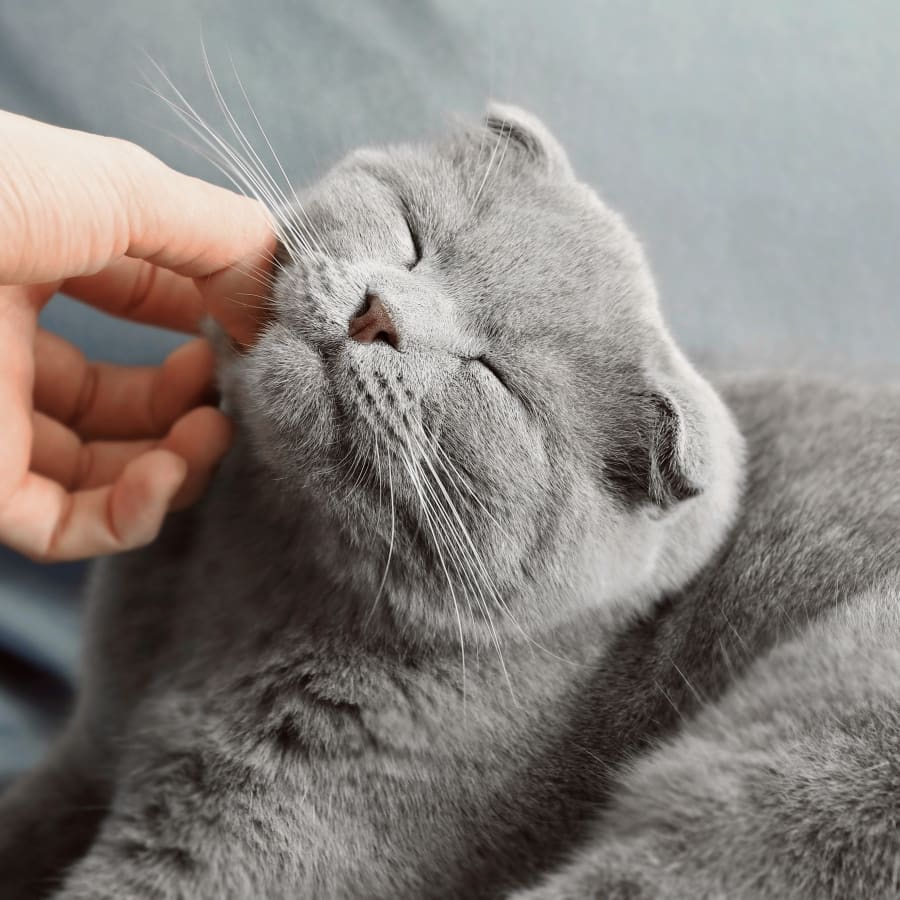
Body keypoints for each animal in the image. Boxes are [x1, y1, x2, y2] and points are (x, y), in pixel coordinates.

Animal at [1, 107, 900, 900]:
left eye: (492, 377)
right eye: (412, 239)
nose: (379, 314)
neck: (254, 567)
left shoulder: (228, 855)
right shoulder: (86, 749)